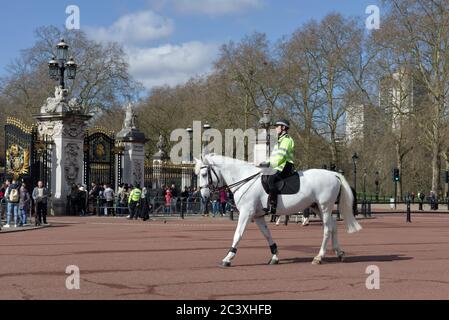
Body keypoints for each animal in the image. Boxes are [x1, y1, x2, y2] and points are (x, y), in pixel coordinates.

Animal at [194, 154, 362, 266]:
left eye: (204, 174)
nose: (203, 195)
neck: (245, 178)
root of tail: (333, 173)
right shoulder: (258, 216)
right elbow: (267, 234)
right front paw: (274, 255)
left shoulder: (246, 213)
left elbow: (238, 234)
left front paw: (228, 258)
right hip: (318, 207)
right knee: (333, 225)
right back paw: (339, 252)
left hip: (325, 207)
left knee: (327, 229)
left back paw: (319, 257)